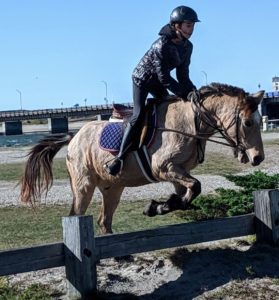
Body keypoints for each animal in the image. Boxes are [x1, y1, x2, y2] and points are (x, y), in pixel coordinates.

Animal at [20, 83, 266, 233]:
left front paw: (159, 207)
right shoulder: (164, 167)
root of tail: (74, 137)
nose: (258, 158)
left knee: (104, 220)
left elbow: (186, 195)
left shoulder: (178, 172)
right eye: (247, 122)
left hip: (112, 189)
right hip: (84, 186)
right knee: (76, 215)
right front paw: (156, 206)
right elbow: (195, 187)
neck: (191, 122)